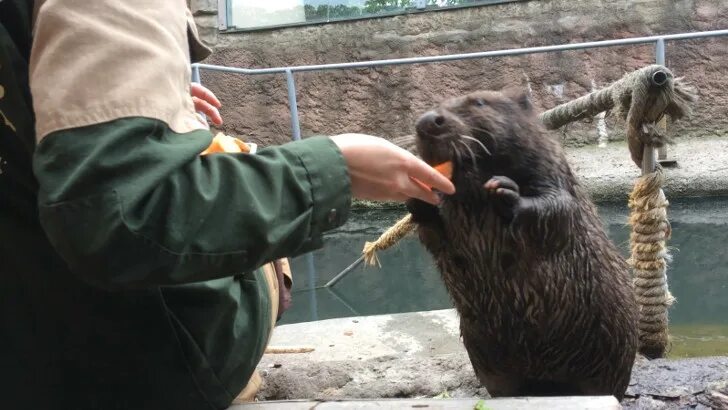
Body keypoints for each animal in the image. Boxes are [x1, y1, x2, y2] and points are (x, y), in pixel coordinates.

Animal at [406, 88, 640, 398]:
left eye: (479, 102)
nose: (427, 122)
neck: (474, 199)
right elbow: (434, 236)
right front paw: (418, 199)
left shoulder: (553, 172)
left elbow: (557, 207)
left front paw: (505, 190)